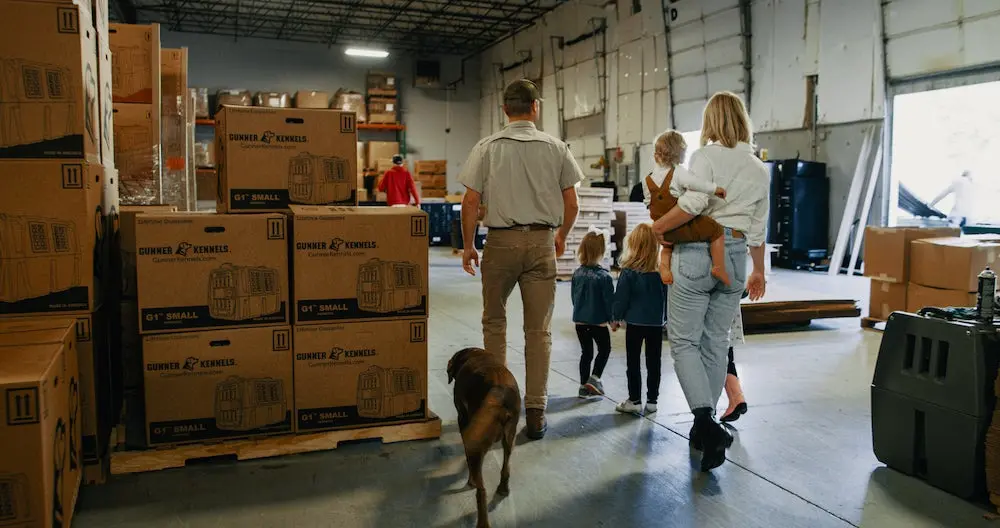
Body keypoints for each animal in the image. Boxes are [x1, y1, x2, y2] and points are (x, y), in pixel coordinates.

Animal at [448, 346, 520, 528]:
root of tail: (500, 393)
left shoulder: (462, 419)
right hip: (510, 440)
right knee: (506, 468)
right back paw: (503, 488)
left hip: (478, 447)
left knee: (481, 491)